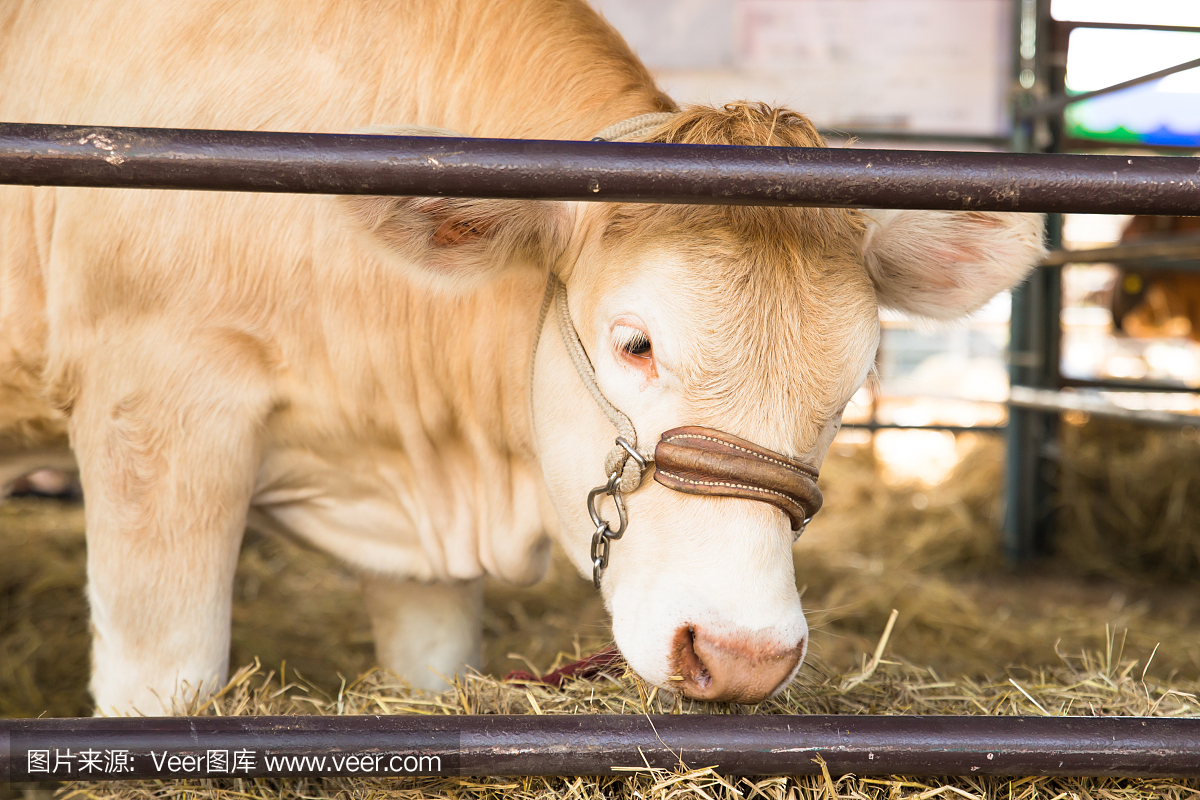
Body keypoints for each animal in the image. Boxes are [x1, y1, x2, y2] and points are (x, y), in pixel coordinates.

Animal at [0, 0, 1041, 714]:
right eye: (634, 343)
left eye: (855, 380)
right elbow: (162, 682)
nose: (743, 653)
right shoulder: (157, 413)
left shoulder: (421, 561)